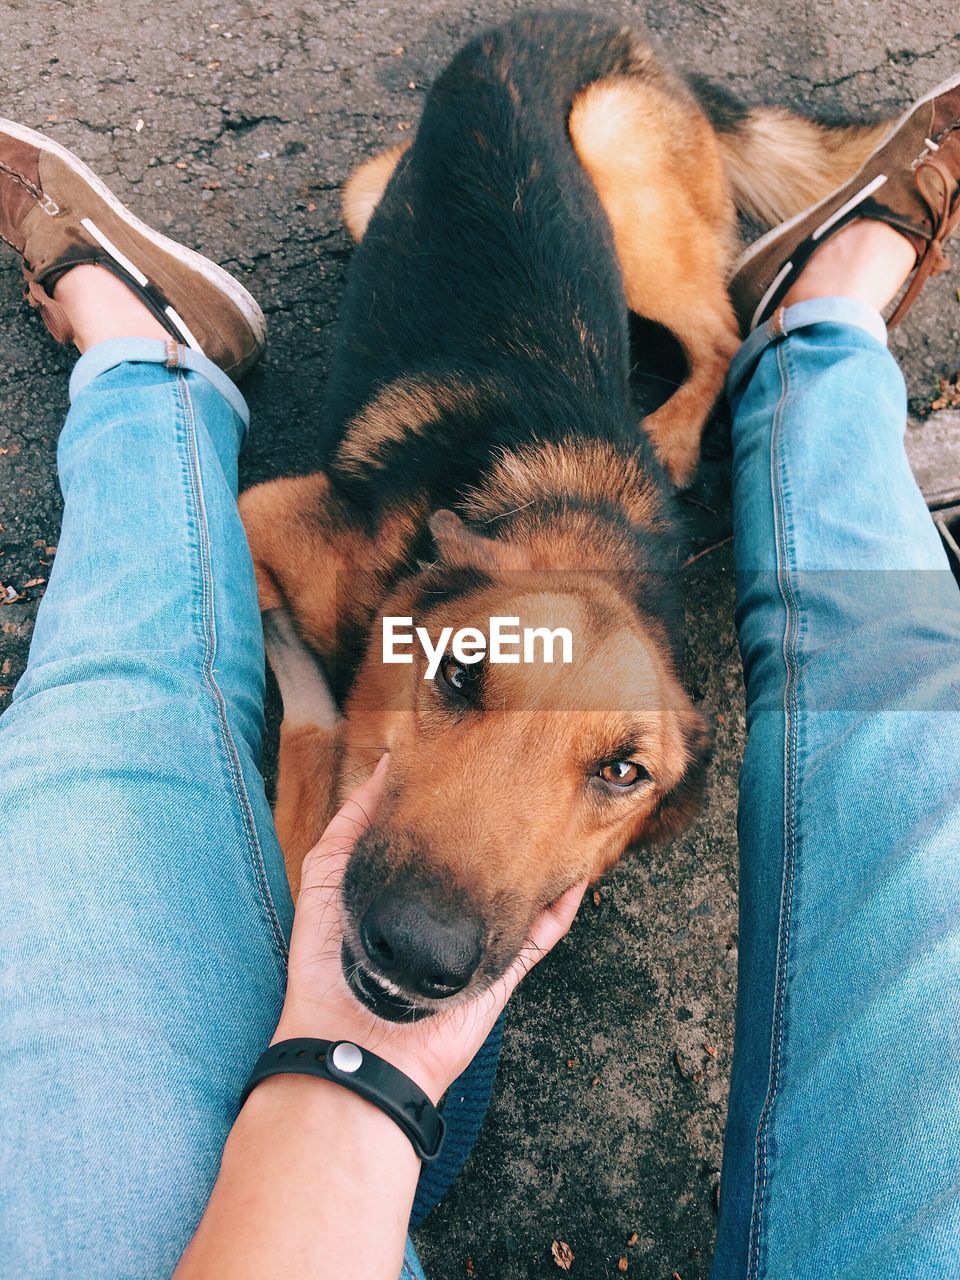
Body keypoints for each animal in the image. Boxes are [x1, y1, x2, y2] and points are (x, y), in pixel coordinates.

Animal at [244, 12, 890, 1018]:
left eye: (623, 772)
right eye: (458, 675)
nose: (419, 949)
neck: (573, 521)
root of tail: (571, 20)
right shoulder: (260, 516)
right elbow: (309, 718)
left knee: (724, 328)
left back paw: (672, 431)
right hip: (422, 186)